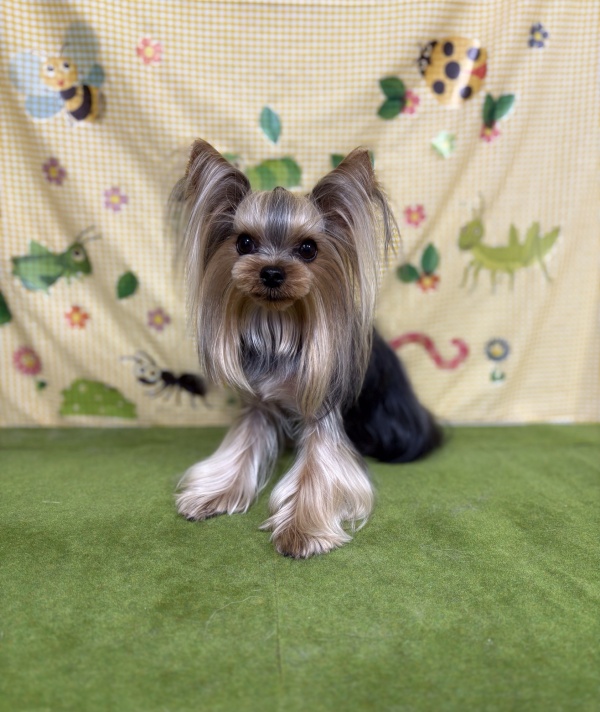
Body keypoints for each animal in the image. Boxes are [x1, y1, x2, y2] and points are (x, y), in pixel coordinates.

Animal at [170, 140, 441, 558]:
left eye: (309, 249)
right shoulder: (259, 401)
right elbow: (242, 445)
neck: (278, 324)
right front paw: (214, 494)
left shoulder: (322, 408)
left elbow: (320, 466)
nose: (272, 272)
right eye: (244, 242)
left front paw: (300, 529)